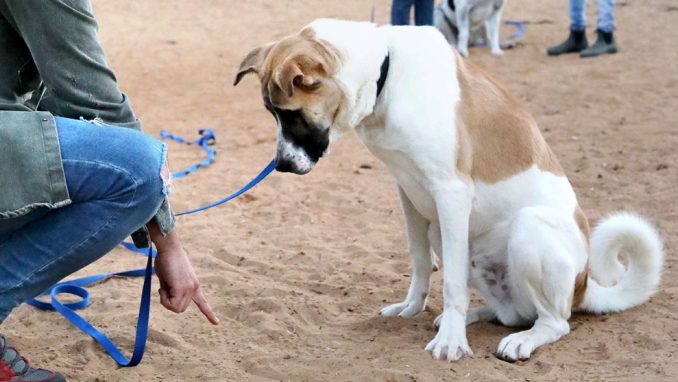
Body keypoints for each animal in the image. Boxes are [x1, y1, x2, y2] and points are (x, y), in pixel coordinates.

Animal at [234, 18, 664, 362]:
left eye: (290, 114)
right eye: (273, 114)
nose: (281, 166)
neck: (387, 76)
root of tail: (583, 284)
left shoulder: (451, 194)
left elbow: (452, 282)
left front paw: (451, 342)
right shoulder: (407, 191)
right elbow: (420, 262)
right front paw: (413, 307)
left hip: (528, 227)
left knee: (555, 322)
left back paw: (519, 338)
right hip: (445, 233)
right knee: (510, 313)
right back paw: (474, 316)